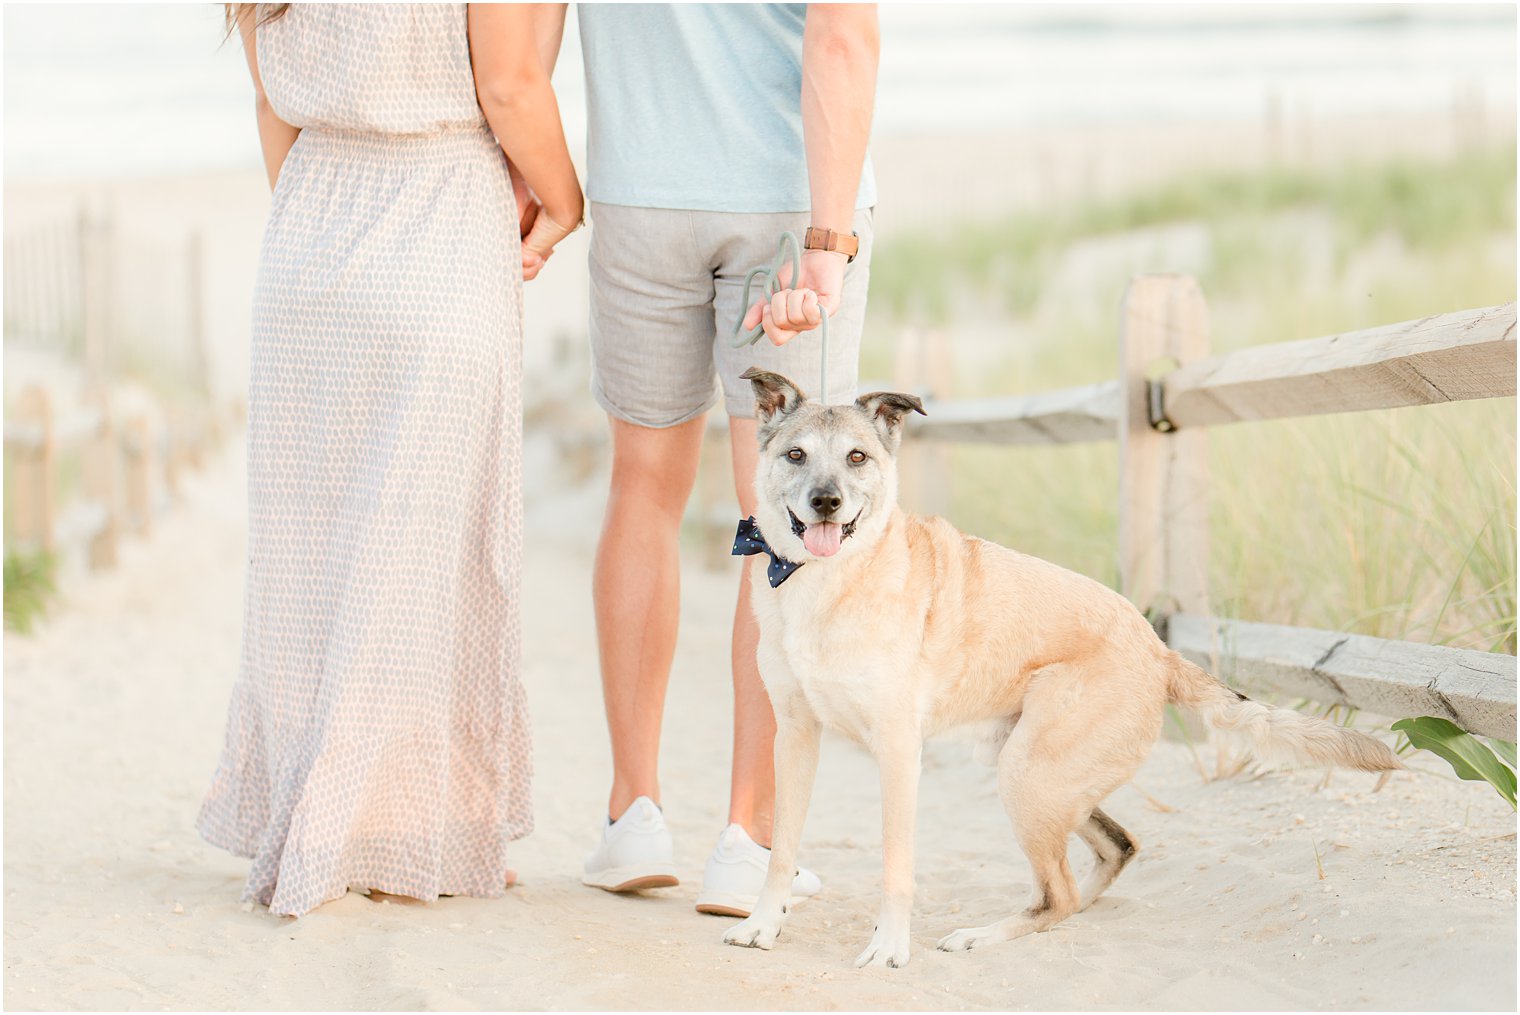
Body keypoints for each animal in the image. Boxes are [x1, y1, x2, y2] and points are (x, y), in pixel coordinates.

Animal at [723, 370, 1398, 966]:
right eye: (795, 454)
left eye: (858, 457)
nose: (826, 501)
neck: (829, 580)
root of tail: (1159, 649)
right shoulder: (796, 736)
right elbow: (782, 849)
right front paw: (763, 924)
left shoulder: (897, 751)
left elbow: (895, 866)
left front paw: (890, 947)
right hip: (1039, 773)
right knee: (1109, 856)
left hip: (1028, 774)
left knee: (1061, 893)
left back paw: (983, 934)